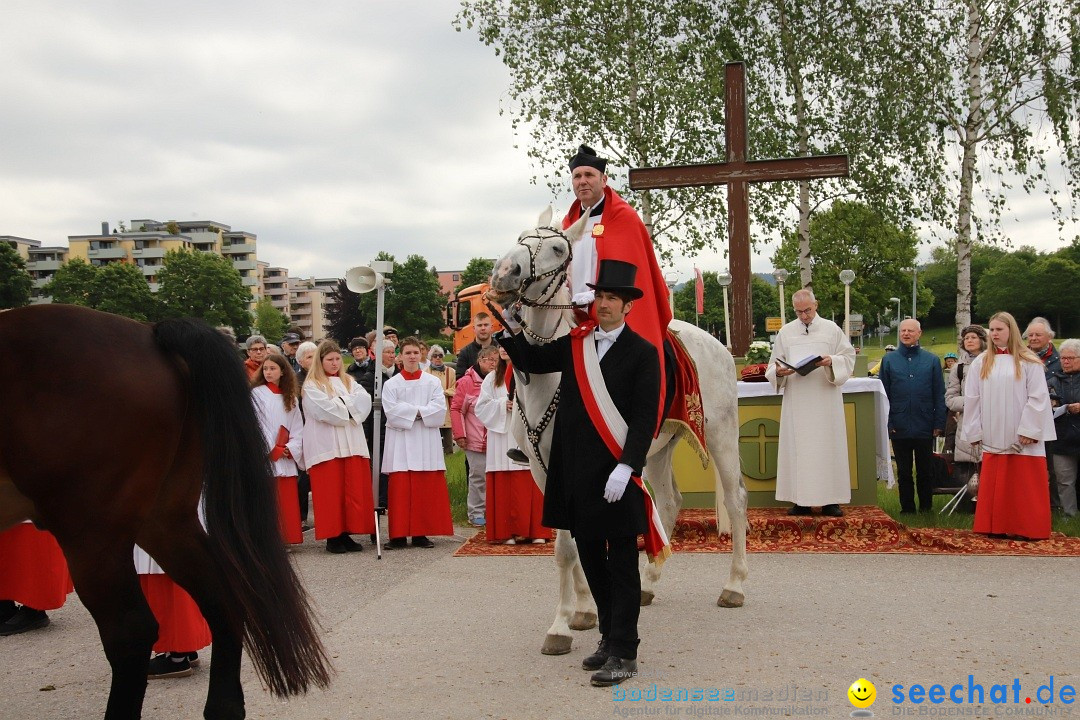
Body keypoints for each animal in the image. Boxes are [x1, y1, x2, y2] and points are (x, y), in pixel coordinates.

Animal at [490, 205, 751, 656]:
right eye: (520, 237)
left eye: (558, 248)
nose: (506, 272)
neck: (550, 370)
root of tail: (719, 345)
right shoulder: (544, 470)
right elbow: (571, 540)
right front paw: (582, 609)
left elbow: (568, 545)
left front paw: (561, 625)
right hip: (656, 448)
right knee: (669, 501)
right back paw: (647, 583)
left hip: (720, 436)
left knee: (735, 500)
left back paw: (733, 585)